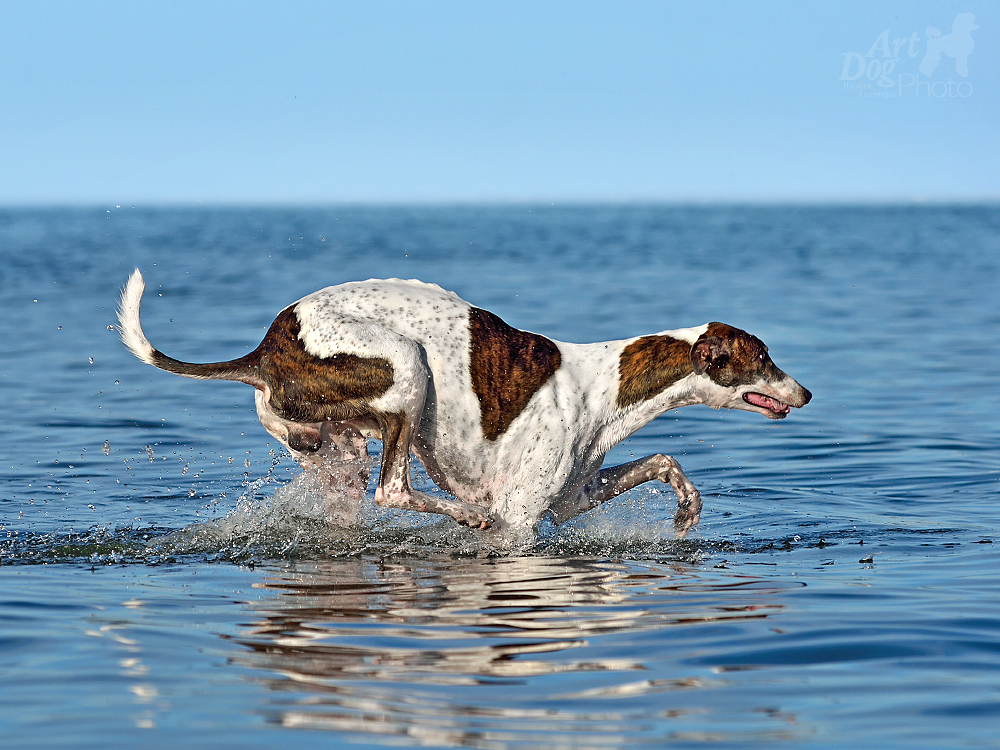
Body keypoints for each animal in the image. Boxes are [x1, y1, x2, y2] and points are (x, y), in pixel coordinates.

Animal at [115, 274, 812, 536]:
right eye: (762, 357)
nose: (805, 393)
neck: (605, 384)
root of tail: (265, 348)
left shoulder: (573, 495)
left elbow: (663, 462)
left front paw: (689, 506)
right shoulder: (522, 518)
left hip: (337, 452)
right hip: (405, 369)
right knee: (393, 489)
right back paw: (464, 514)